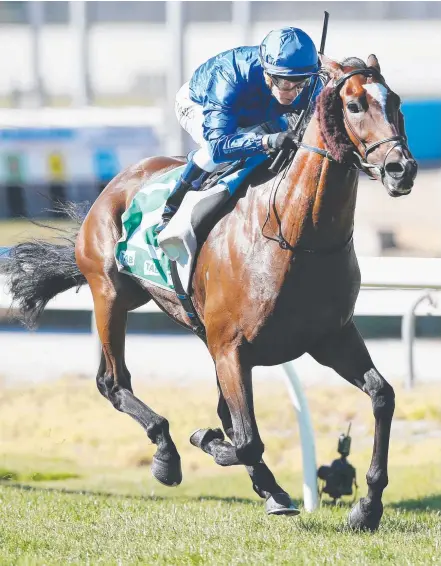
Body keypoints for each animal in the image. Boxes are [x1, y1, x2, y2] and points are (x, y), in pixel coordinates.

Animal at [1, 55, 416, 532]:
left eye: (396, 101)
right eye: (353, 104)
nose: (402, 169)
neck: (296, 235)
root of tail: (116, 183)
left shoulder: (331, 337)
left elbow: (382, 396)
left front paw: (367, 506)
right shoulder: (231, 348)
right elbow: (246, 438)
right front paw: (209, 445)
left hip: (189, 324)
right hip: (110, 294)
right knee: (113, 381)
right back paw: (167, 456)